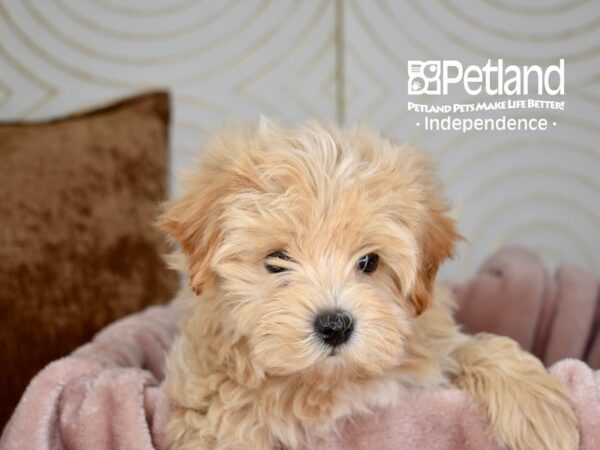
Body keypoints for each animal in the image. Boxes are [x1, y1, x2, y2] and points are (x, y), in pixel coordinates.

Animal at [158, 120, 576, 450]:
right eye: (277, 260)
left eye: (368, 262)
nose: (334, 326)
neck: (330, 381)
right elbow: (224, 415)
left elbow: (474, 348)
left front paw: (540, 412)